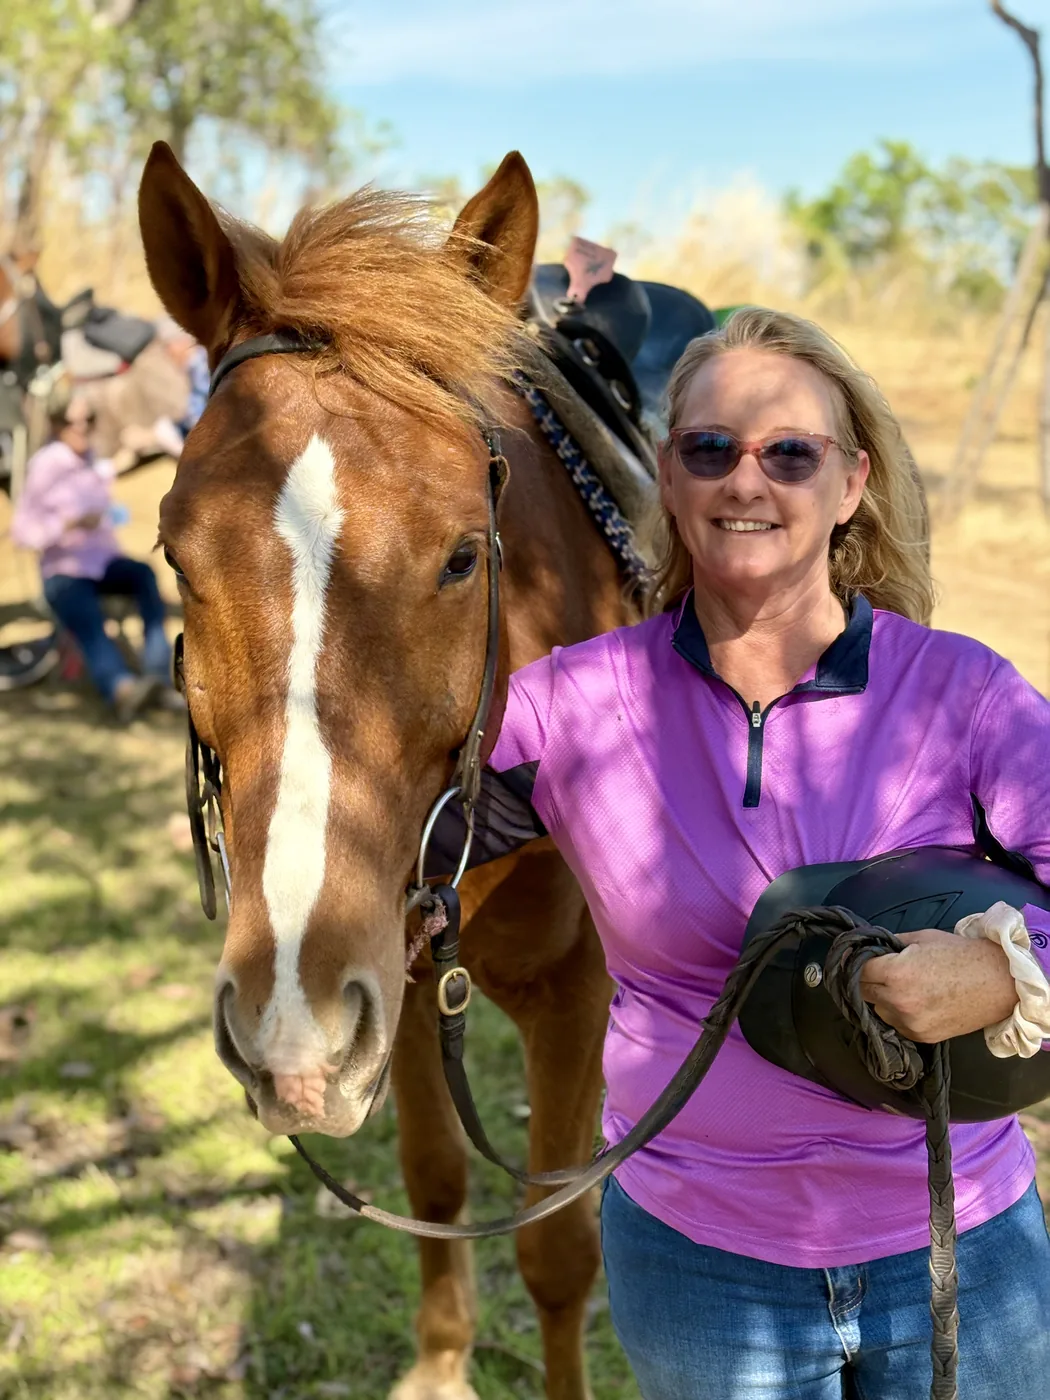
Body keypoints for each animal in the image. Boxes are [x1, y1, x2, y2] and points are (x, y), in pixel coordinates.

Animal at [137, 141, 634, 1400]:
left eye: (463, 555)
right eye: (175, 552)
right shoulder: (393, 982)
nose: (285, 1023)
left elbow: (559, 1246)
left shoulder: (579, 996)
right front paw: (441, 1363)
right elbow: (437, 1183)